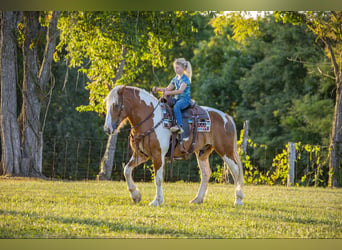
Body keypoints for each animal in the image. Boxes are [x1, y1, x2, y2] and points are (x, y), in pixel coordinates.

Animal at [103, 85, 244, 206]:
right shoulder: (142, 155)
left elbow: (158, 178)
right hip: (203, 152)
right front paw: (135, 195)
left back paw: (238, 199)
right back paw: (197, 199)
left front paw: (157, 201)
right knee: (206, 174)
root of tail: (226, 117)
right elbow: (126, 170)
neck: (152, 119)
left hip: (225, 151)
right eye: (106, 105)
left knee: (236, 170)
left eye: (116, 105)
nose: (107, 128)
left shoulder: (158, 155)